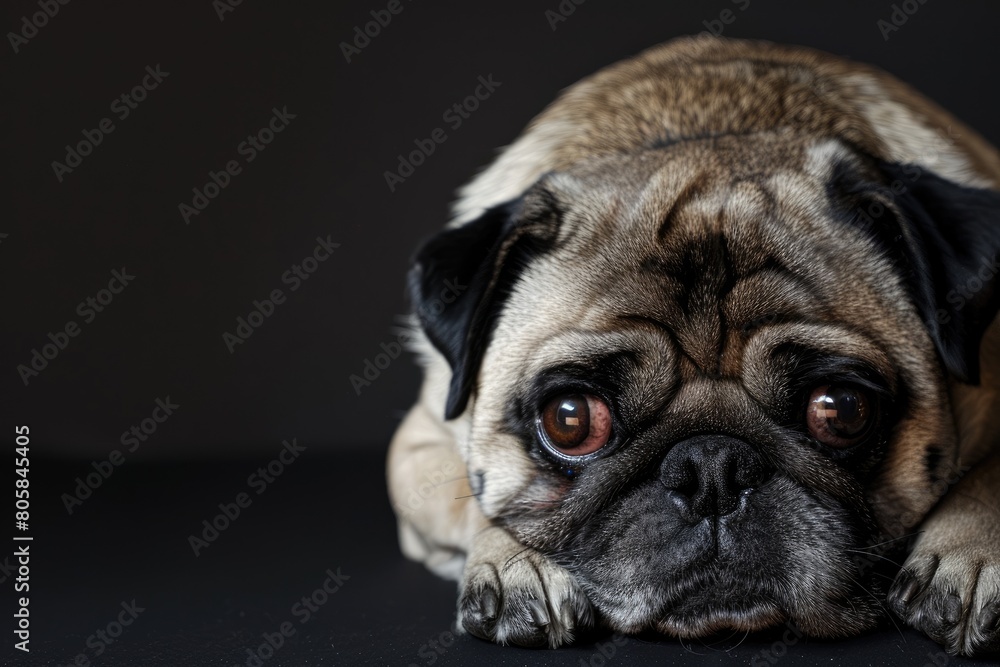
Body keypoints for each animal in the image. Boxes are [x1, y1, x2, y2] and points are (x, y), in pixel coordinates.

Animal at [386, 36, 1000, 656]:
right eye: (571, 419)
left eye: (842, 410)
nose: (713, 469)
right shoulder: (418, 447)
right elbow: (472, 499)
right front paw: (516, 562)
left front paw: (971, 554)